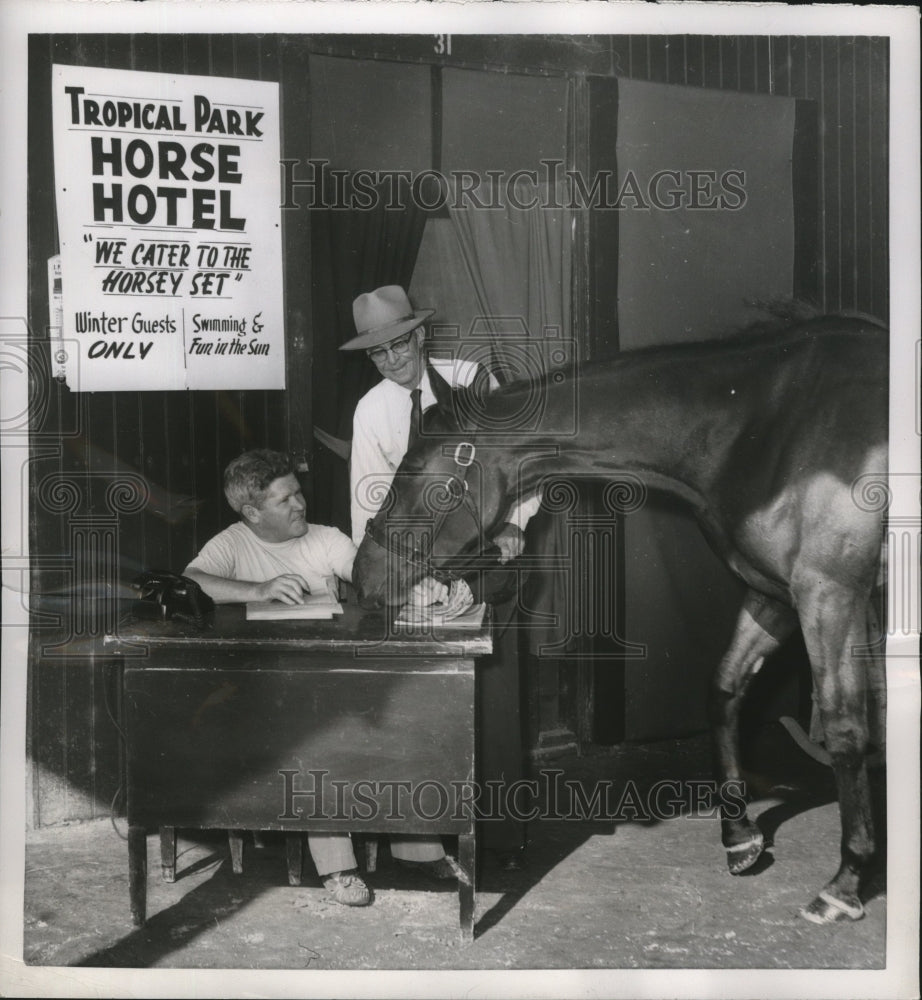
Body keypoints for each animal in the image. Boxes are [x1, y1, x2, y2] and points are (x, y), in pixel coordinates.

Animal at [350, 316, 884, 924]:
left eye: (422, 479)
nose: (363, 576)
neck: (764, 424)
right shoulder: (772, 593)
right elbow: (725, 691)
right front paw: (739, 836)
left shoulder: (829, 594)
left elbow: (845, 730)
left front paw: (845, 880)